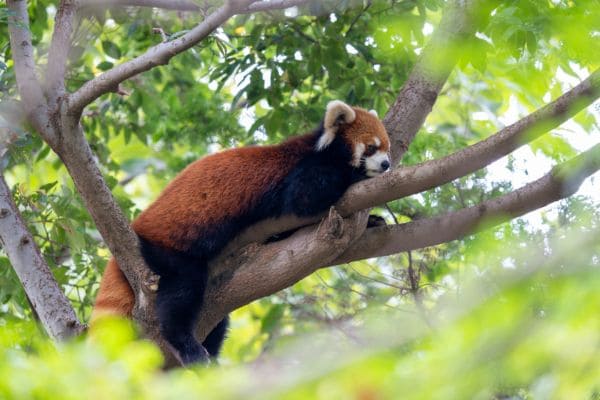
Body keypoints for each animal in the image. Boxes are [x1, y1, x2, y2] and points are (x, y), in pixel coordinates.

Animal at [93, 99, 392, 362]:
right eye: (371, 147)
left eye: (386, 148)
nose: (387, 164)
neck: (320, 149)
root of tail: (138, 226)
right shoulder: (301, 172)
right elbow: (307, 197)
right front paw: (358, 176)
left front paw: (374, 220)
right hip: (168, 249)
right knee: (181, 292)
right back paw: (187, 345)